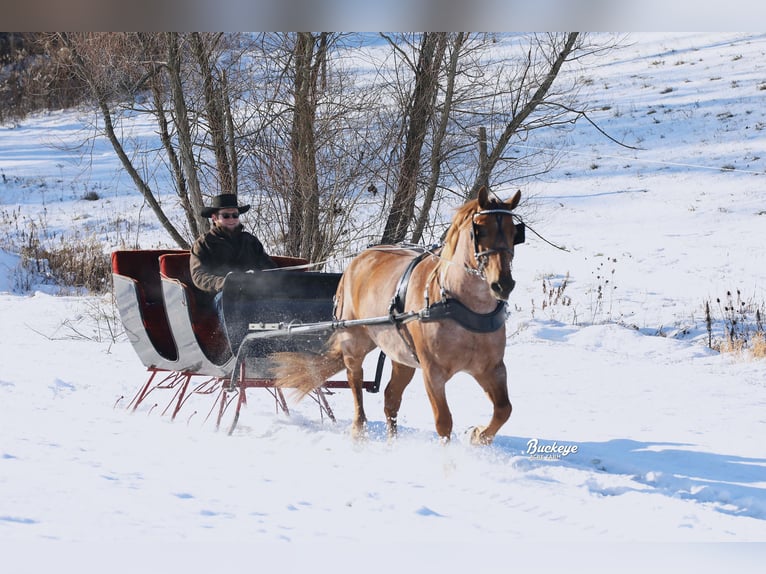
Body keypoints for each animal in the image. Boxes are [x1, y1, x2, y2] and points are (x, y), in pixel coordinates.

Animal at [272, 189, 524, 446]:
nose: (503, 284)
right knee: (355, 381)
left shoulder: (491, 368)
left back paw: (392, 442)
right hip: (354, 343)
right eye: (479, 230)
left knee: (391, 398)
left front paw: (478, 435)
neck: (460, 305)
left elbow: (504, 409)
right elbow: (443, 423)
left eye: (515, 232)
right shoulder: (432, 372)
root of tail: (356, 261)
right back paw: (359, 429)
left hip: (402, 357)